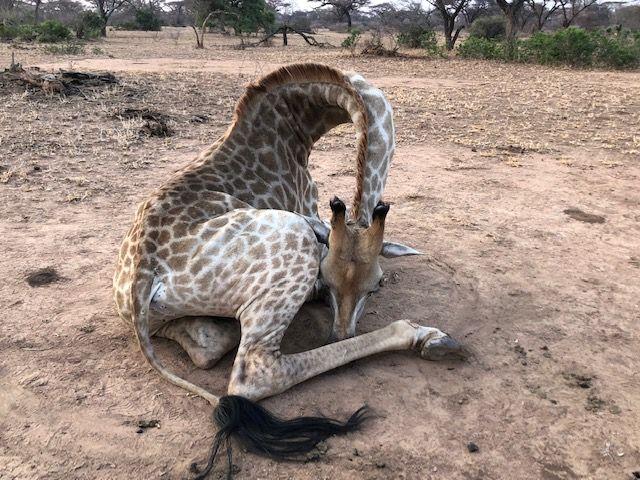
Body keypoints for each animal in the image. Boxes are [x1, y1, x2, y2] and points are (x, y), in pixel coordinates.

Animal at [113, 63, 464, 470]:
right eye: (327, 281)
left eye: (375, 286)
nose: (341, 333)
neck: (295, 125)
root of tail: (142, 272)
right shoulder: (309, 216)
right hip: (294, 239)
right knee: (255, 374)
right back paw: (430, 337)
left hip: (157, 314)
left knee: (207, 344)